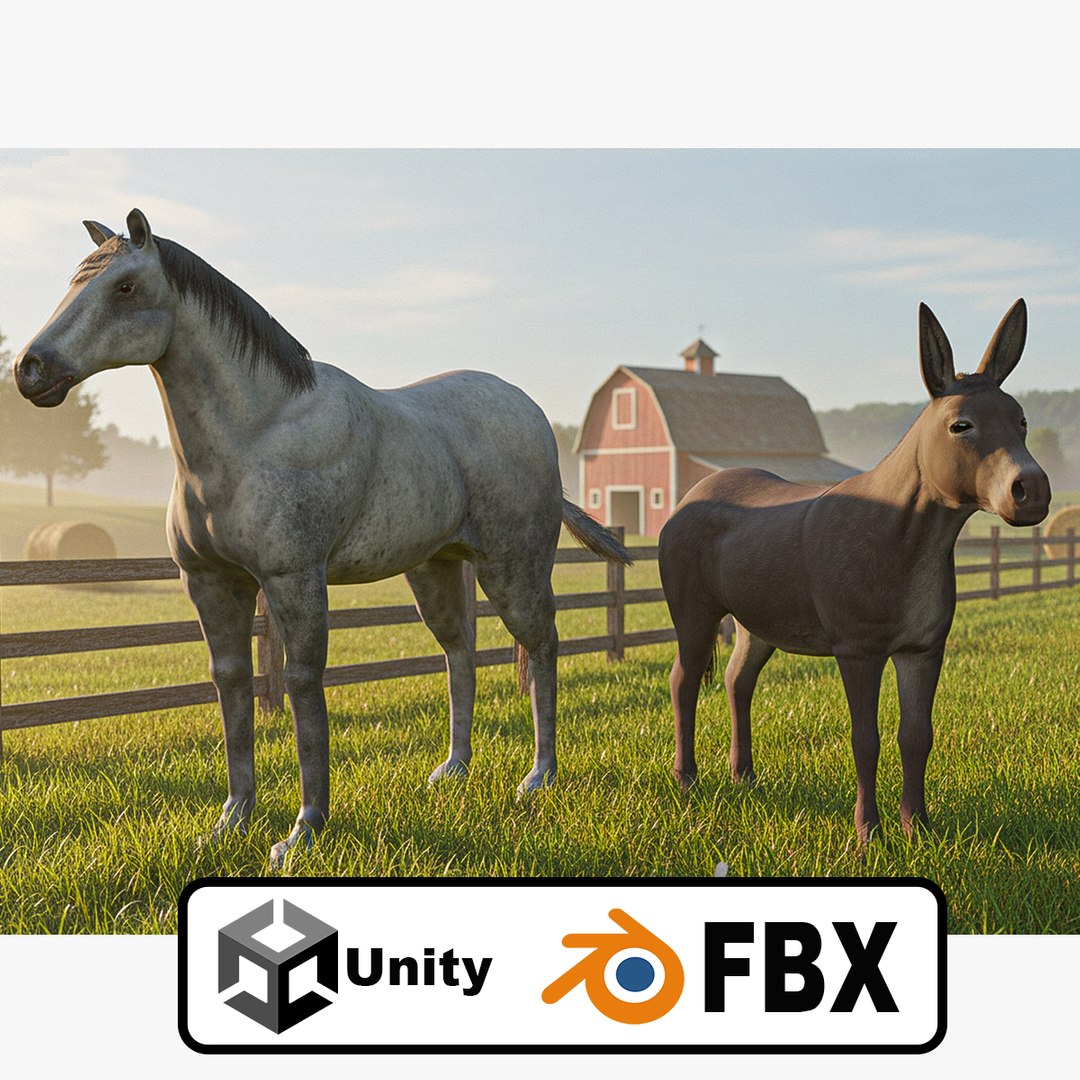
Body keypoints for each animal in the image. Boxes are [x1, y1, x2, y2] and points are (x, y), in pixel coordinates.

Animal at [14, 208, 630, 866]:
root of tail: (530, 414)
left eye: (125, 286)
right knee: (459, 650)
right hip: (435, 568)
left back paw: (539, 778)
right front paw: (231, 820)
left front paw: (303, 831)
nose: (31, 369)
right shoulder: (211, 582)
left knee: (541, 646)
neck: (257, 431)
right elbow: (232, 683)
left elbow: (303, 685)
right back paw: (452, 771)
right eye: (75, 280)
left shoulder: (294, 580)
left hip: (512, 567)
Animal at [658, 300, 1050, 843]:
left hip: (755, 624)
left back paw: (745, 778)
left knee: (738, 681)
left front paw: (917, 827)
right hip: (694, 615)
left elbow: (916, 736)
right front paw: (868, 835)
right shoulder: (858, 652)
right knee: (685, 680)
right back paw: (687, 780)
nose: (1030, 491)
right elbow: (866, 738)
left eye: (1022, 420)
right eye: (961, 426)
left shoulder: (923, 650)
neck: (899, 536)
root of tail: (690, 497)